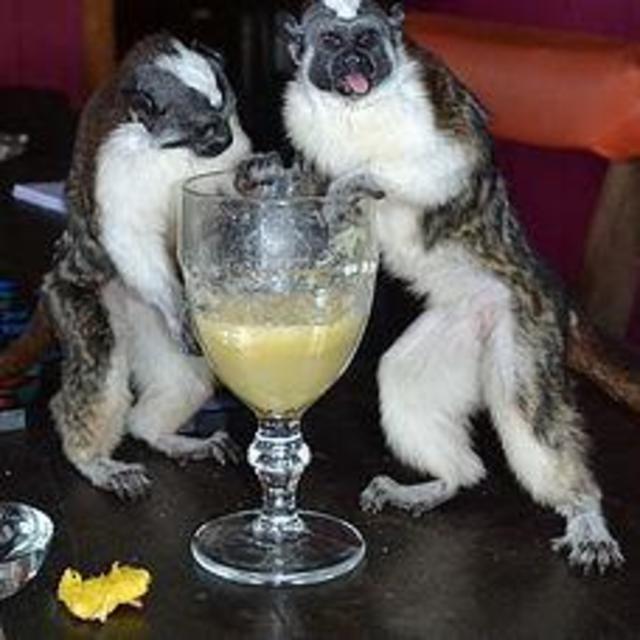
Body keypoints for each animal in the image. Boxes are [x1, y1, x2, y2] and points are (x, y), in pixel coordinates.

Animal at [1, 34, 252, 499]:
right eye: (205, 128)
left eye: (227, 114)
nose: (224, 138)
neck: (173, 150)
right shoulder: (118, 154)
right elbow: (128, 235)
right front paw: (178, 307)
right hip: (80, 296)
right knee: (99, 362)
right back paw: (92, 460)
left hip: (142, 312)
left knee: (185, 375)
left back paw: (159, 434)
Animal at [280, 0, 626, 572]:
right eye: (331, 41)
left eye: (367, 40)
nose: (355, 63)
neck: (355, 112)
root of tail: (555, 296)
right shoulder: (303, 118)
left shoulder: (430, 105)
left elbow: (445, 168)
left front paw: (358, 182)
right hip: (464, 324)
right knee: (403, 379)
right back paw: (443, 482)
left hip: (524, 328)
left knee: (530, 418)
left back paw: (584, 512)